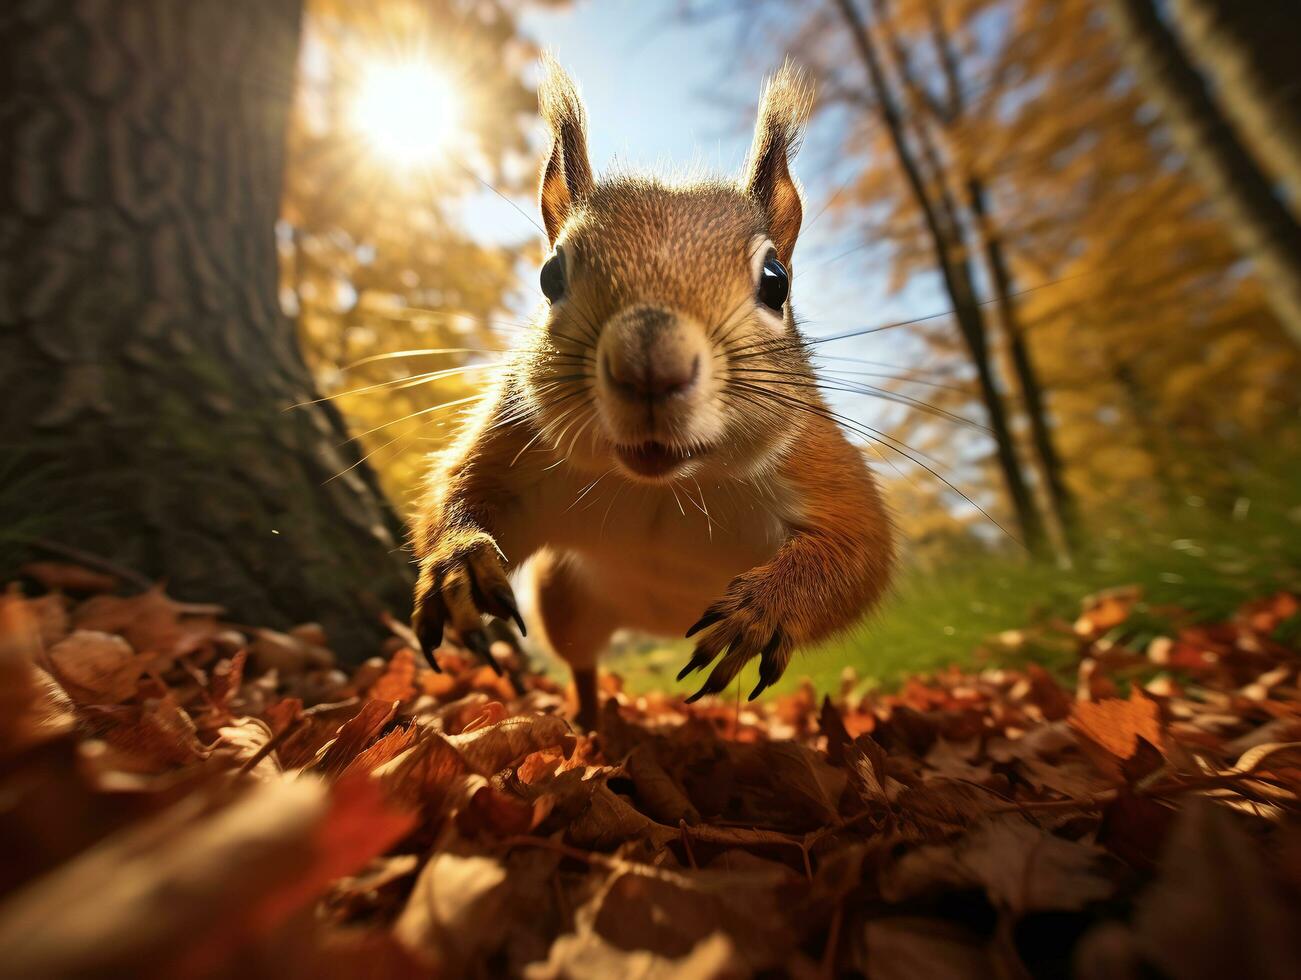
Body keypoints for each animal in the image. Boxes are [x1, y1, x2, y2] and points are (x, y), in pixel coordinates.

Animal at [413, 55, 895, 728]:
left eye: (776, 281)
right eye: (550, 275)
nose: (649, 366)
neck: (665, 486)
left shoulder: (813, 455)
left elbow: (859, 550)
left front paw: (762, 610)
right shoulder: (518, 440)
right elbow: (460, 489)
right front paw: (458, 563)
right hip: (568, 600)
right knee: (582, 662)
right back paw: (592, 723)